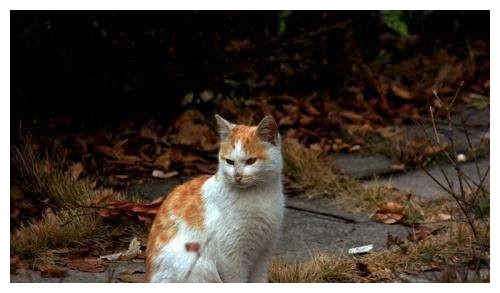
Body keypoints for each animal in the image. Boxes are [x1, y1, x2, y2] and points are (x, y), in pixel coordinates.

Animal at [146, 113, 286, 280]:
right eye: (230, 162)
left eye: (251, 161)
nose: (237, 176)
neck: (259, 195)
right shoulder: (231, 256)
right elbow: (237, 279)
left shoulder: (264, 253)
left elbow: (259, 279)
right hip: (201, 267)